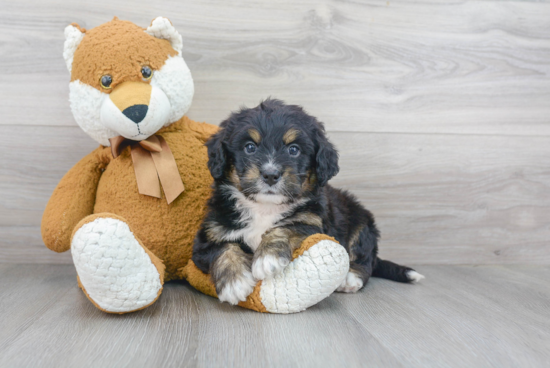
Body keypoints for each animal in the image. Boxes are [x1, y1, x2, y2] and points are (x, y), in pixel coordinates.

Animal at [194, 98, 426, 304]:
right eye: (250, 147)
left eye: (293, 150)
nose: (270, 174)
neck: (264, 208)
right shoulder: (208, 236)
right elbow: (224, 249)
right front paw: (235, 283)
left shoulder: (313, 223)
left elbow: (286, 227)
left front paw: (267, 258)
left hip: (362, 223)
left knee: (364, 258)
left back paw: (350, 278)